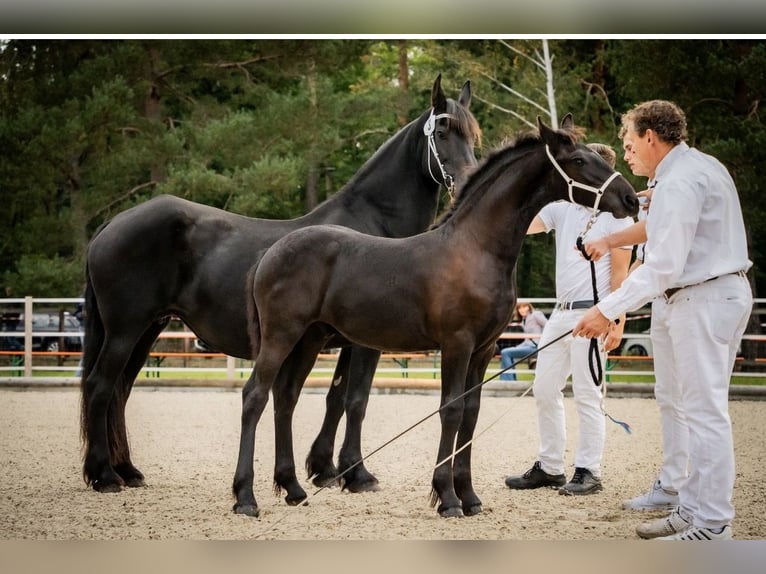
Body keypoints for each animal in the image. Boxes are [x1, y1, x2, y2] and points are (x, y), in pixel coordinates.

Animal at [80, 75, 481, 493]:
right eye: (443, 131)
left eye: (473, 134)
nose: (468, 179)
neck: (374, 225)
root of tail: (112, 223)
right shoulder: (364, 344)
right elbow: (356, 401)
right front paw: (356, 474)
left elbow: (336, 399)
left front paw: (324, 468)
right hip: (125, 330)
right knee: (100, 387)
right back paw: (104, 475)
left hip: (146, 330)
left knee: (120, 391)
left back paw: (127, 470)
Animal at [233, 115, 638, 518]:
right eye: (579, 160)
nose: (631, 199)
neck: (477, 248)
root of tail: (271, 252)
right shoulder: (457, 344)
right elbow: (452, 410)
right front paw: (447, 497)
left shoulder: (484, 349)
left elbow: (471, 413)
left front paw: (470, 496)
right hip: (282, 336)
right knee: (255, 395)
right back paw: (245, 497)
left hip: (309, 339)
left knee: (285, 397)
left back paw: (292, 488)